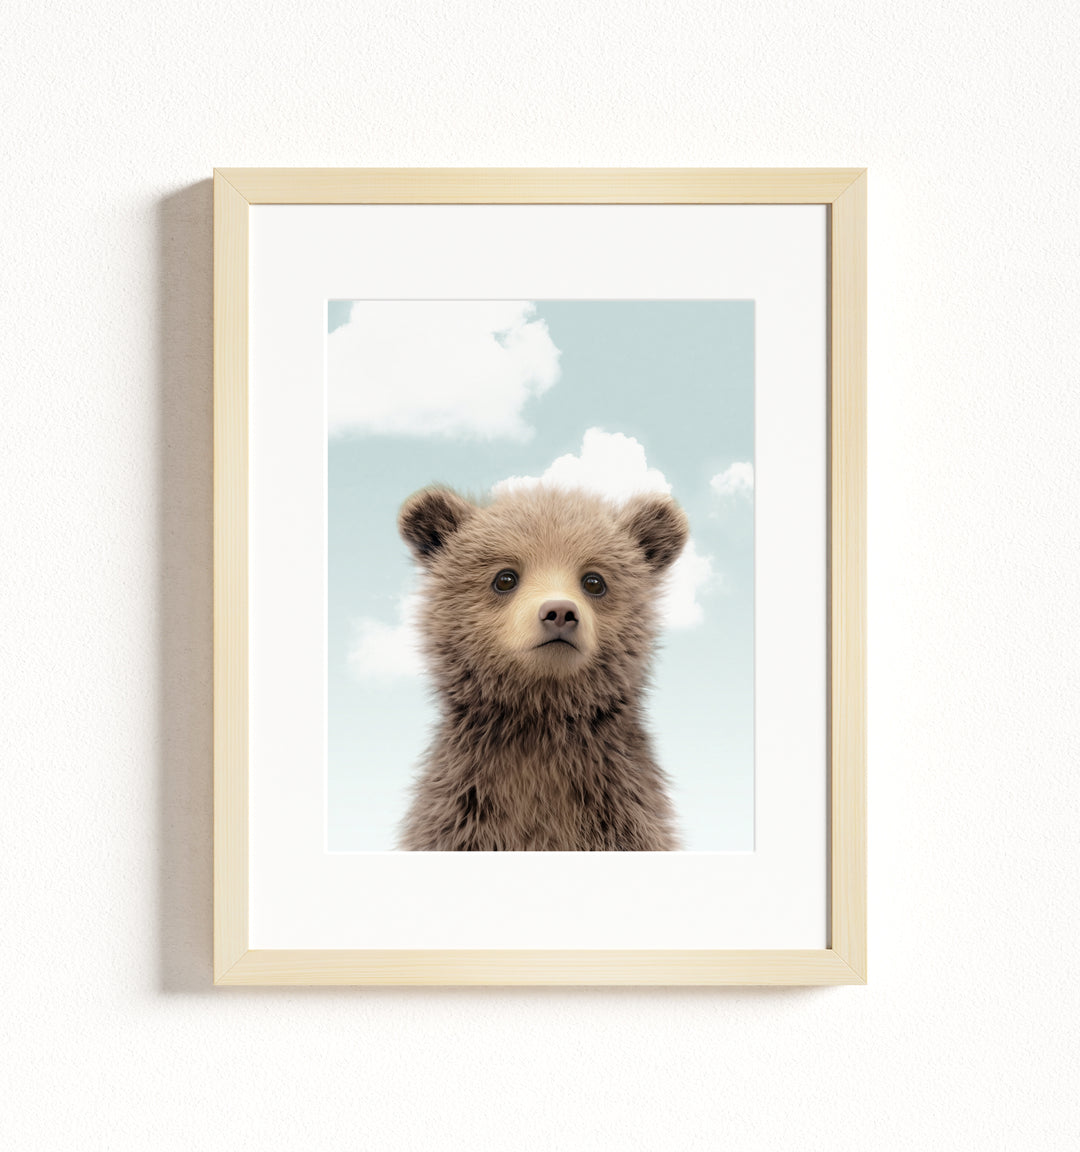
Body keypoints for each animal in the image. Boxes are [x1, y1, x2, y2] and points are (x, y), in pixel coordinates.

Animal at [396, 483, 689, 851]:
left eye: (594, 581)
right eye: (505, 578)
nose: (560, 612)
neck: (540, 721)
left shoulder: (620, 811)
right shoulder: (463, 811)